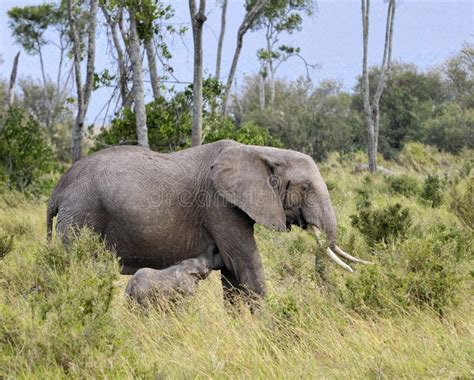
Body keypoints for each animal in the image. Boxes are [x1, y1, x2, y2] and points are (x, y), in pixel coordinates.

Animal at [46, 140, 368, 296]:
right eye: (306, 188)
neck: (262, 152)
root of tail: (57, 190)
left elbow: (232, 274)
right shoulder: (219, 205)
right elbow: (244, 263)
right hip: (81, 216)